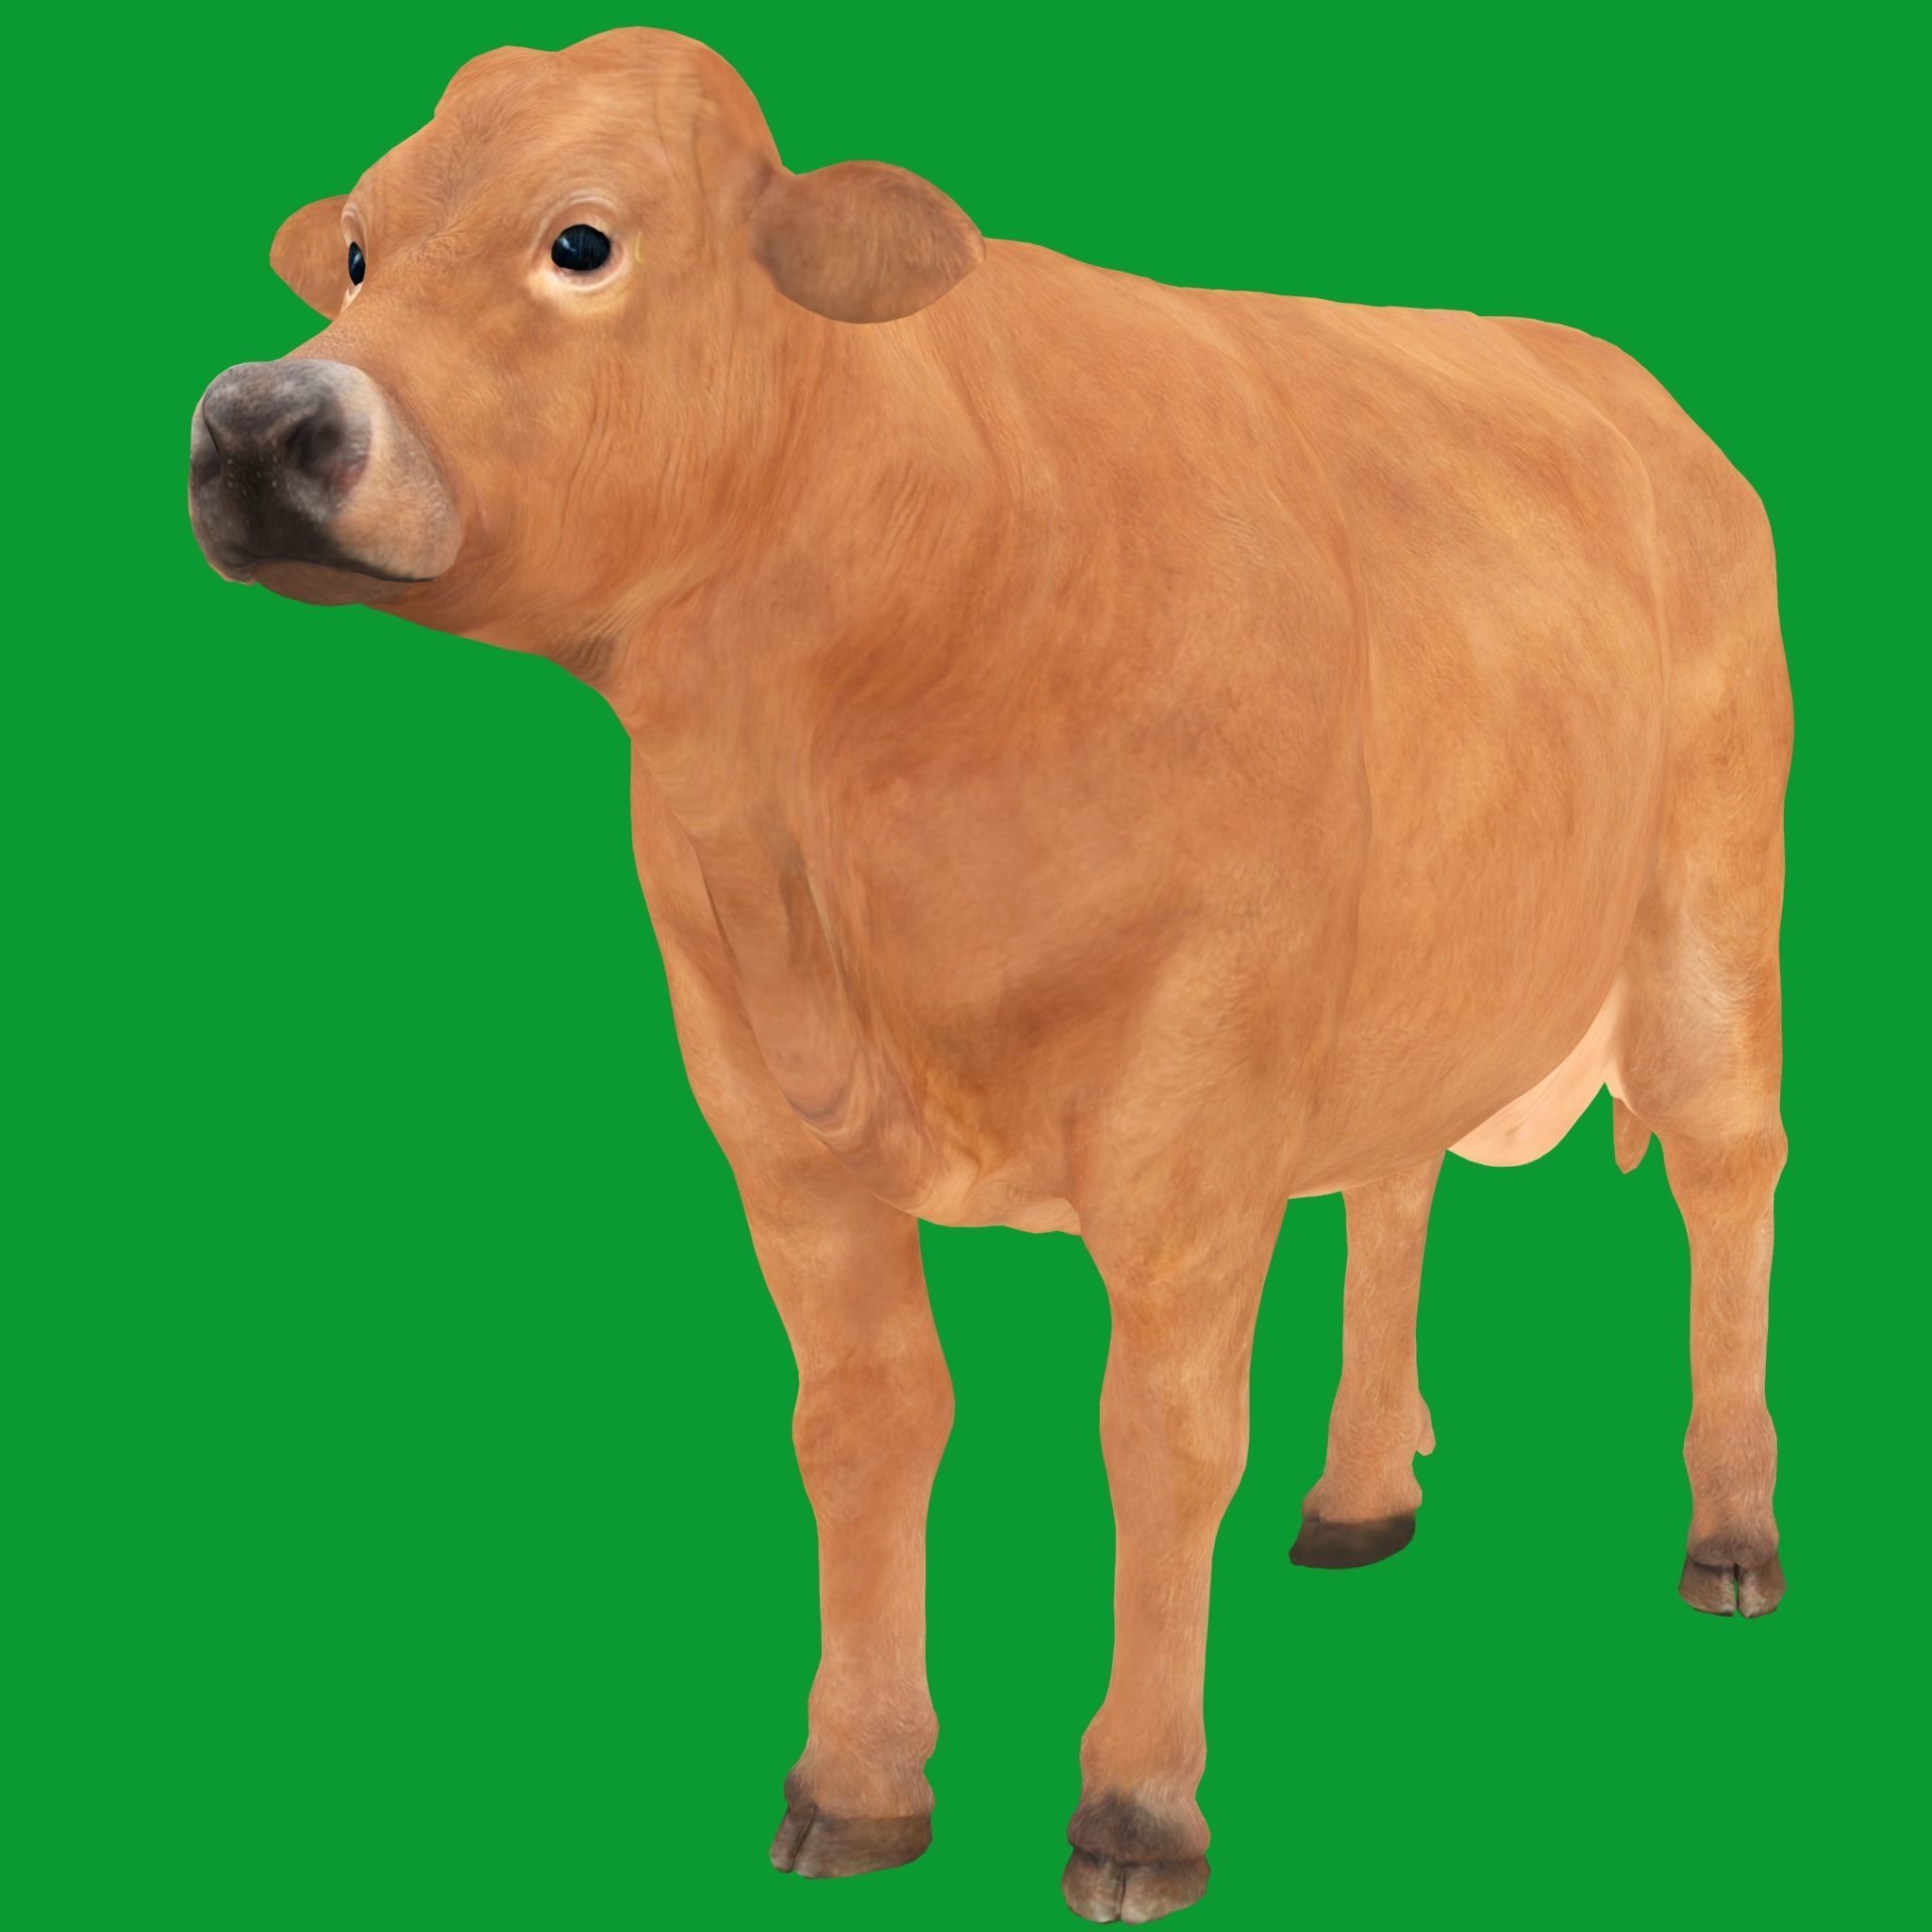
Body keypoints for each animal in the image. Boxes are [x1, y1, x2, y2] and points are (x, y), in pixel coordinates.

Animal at [186, 27, 1793, 1923]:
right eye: (357, 252)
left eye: (582, 240)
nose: (257, 419)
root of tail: (1642, 398)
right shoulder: (772, 1115)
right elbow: (866, 1420)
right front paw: (858, 1782)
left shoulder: (1192, 1110)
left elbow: (1161, 1437)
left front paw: (1138, 1808)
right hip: (1407, 972)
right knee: (1394, 1179)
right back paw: (1358, 1494)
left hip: (1710, 916)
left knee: (1725, 1178)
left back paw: (1730, 1532)